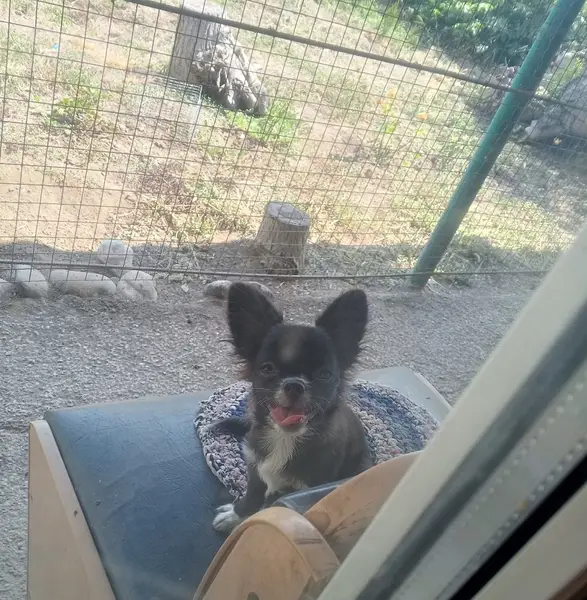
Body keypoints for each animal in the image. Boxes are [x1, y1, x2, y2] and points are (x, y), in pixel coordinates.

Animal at [212, 282, 372, 533]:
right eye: (267, 369)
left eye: (324, 375)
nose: (295, 385)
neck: (284, 439)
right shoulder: (254, 465)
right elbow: (252, 493)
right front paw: (239, 514)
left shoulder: (305, 487)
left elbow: (273, 502)